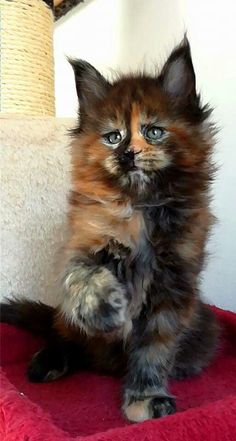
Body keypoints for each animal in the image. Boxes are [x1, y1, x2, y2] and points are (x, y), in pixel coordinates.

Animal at [1, 38, 219, 422]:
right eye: (113, 137)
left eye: (154, 131)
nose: (128, 154)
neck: (142, 206)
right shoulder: (84, 245)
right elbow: (86, 279)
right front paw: (105, 309)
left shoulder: (174, 285)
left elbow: (155, 349)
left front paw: (145, 395)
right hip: (65, 321)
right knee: (63, 334)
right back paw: (50, 361)